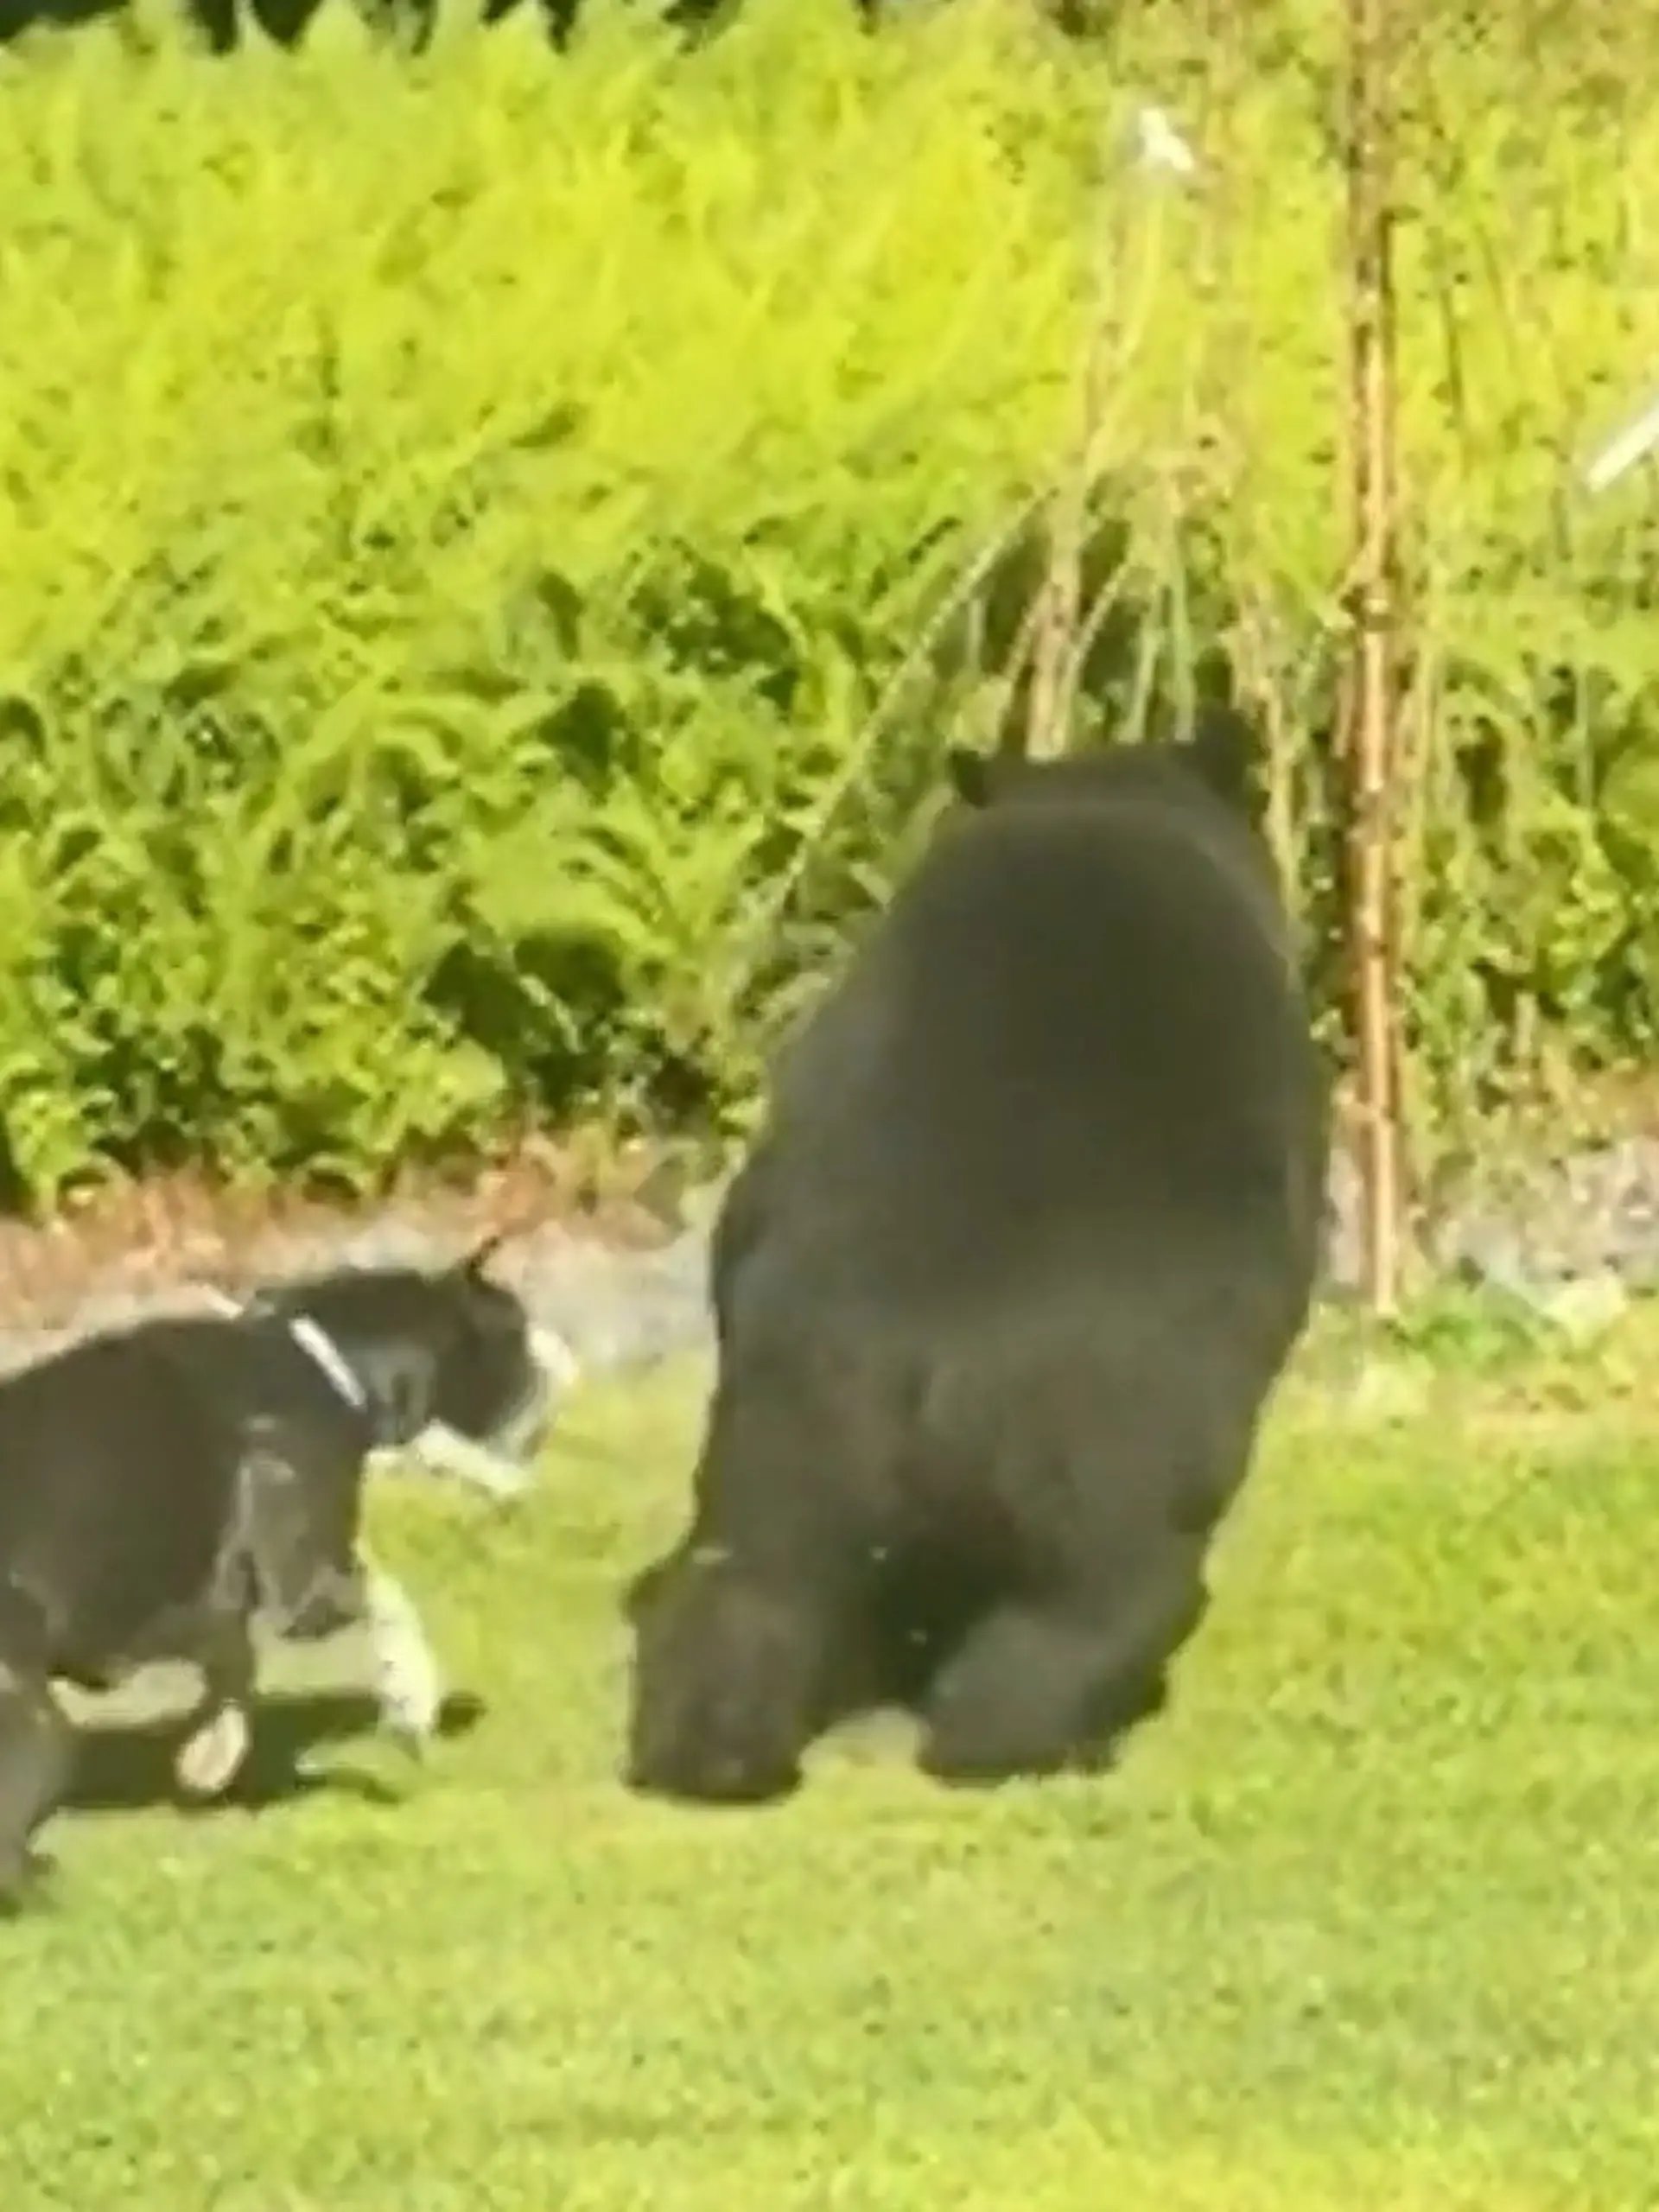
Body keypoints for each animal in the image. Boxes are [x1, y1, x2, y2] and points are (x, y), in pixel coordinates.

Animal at [621, 705, 1329, 1804]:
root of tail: (921, 1354)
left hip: (782, 1415)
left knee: (750, 1580)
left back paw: (712, 1751)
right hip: (1108, 1433)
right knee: (1088, 1599)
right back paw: (1034, 1738)